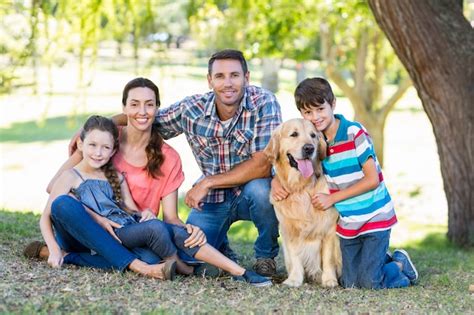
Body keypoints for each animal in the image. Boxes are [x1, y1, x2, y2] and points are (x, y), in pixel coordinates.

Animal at [264, 118, 338, 288]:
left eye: (313, 135)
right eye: (294, 134)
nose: (309, 148)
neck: (301, 187)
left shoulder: (329, 227)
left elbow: (328, 257)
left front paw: (329, 280)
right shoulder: (289, 228)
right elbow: (295, 255)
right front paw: (294, 279)